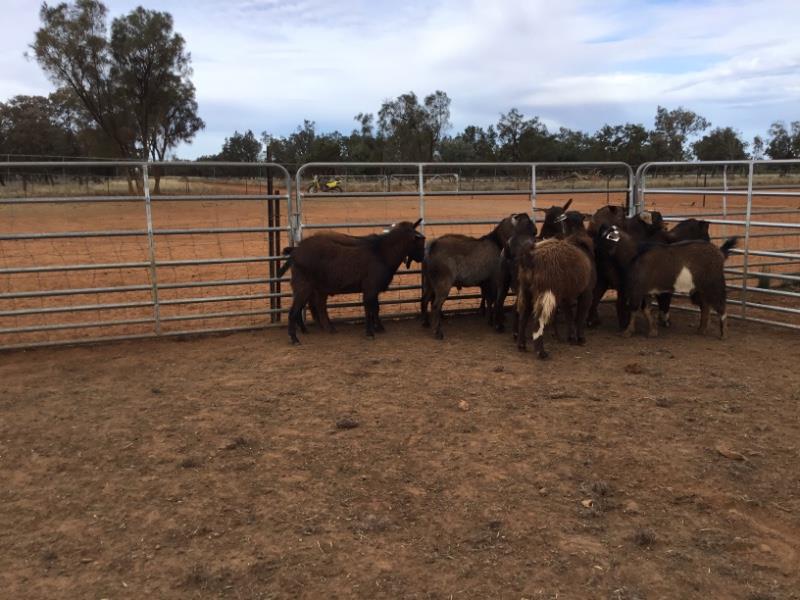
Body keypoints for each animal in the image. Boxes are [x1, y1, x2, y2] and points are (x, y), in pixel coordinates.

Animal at [283, 220, 425, 343]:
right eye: (420, 243)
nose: (422, 258)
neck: (381, 252)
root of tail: (296, 251)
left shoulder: (374, 289)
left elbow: (376, 308)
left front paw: (378, 327)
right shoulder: (370, 287)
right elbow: (368, 309)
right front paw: (369, 332)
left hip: (312, 288)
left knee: (312, 307)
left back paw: (314, 329)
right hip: (303, 286)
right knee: (295, 311)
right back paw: (294, 338)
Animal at [516, 230, 596, 359]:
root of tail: (530, 257)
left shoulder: (565, 297)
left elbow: (569, 316)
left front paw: (571, 338)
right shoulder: (586, 294)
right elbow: (580, 317)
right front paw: (580, 339)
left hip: (526, 292)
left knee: (523, 318)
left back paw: (521, 345)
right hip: (546, 294)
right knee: (538, 322)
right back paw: (541, 352)